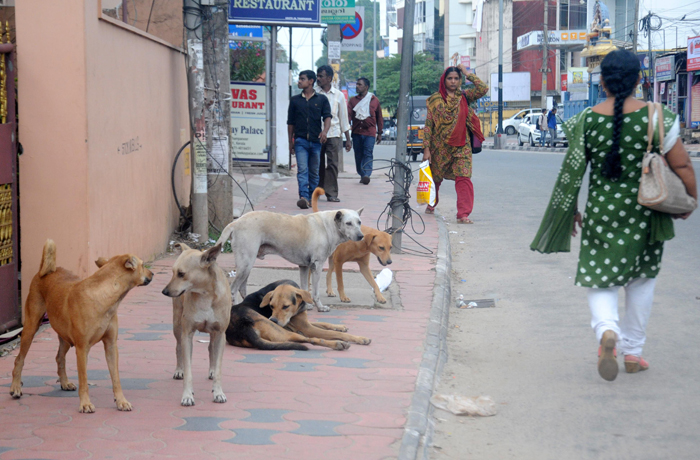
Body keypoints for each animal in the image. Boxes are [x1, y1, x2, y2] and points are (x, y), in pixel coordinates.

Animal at [10, 241, 154, 414]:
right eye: (142, 265)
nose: (153, 274)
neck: (104, 296)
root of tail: (44, 272)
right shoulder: (82, 348)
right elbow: (84, 379)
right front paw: (85, 404)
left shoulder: (111, 346)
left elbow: (116, 378)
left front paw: (121, 401)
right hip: (31, 328)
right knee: (19, 359)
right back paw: (16, 387)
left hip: (64, 337)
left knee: (59, 358)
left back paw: (64, 382)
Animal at [161, 243, 230, 404]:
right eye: (172, 272)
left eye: (181, 273)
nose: (164, 291)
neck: (205, 294)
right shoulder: (187, 333)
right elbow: (188, 369)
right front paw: (187, 395)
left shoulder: (220, 333)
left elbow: (218, 367)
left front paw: (218, 392)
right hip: (177, 325)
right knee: (178, 347)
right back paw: (179, 370)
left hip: (213, 334)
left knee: (211, 348)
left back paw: (211, 370)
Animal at [216, 209, 364, 312]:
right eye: (348, 223)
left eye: (359, 222)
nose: (361, 236)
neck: (328, 226)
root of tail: (235, 222)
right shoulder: (317, 266)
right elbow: (315, 292)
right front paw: (320, 307)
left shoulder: (304, 267)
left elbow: (304, 288)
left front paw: (307, 305)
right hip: (246, 264)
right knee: (234, 289)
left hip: (246, 265)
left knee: (242, 288)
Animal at [228, 278, 372, 350]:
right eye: (271, 306)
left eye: (285, 306)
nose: (273, 320)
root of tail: (241, 328)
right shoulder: (306, 328)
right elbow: (332, 333)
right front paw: (360, 338)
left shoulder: (303, 322)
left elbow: (324, 323)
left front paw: (340, 326)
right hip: (282, 331)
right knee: (311, 340)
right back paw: (338, 344)